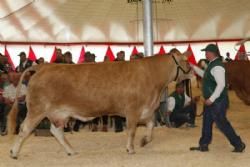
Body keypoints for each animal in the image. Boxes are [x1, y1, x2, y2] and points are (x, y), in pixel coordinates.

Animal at [7, 51, 191, 159]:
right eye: (187, 61)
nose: (191, 72)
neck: (152, 77)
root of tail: (42, 67)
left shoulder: (146, 110)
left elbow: (151, 126)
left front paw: (144, 141)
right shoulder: (133, 110)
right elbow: (131, 131)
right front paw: (130, 149)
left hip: (58, 113)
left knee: (56, 131)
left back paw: (71, 151)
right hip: (37, 109)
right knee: (24, 128)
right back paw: (14, 153)